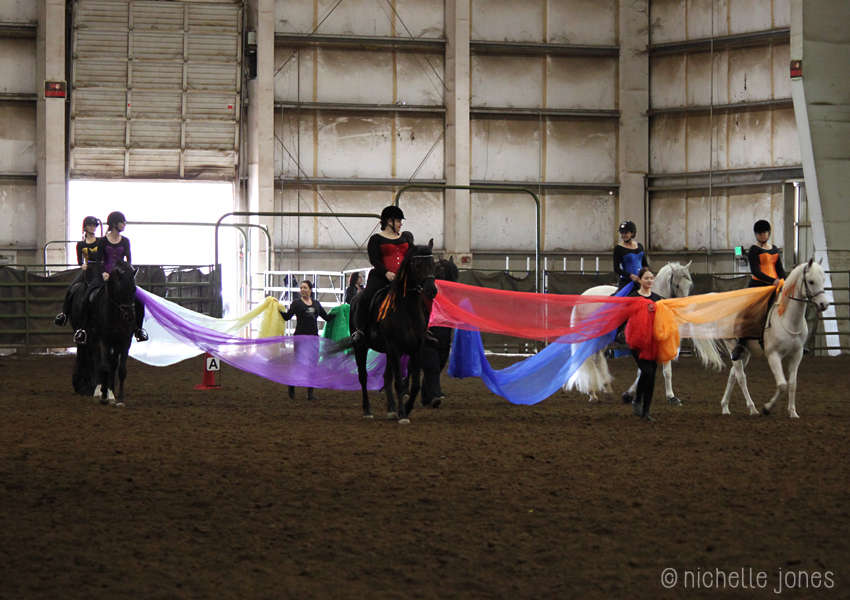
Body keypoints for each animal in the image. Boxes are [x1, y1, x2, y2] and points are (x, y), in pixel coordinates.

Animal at [75, 260, 139, 407]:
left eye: (134, 289)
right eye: (118, 289)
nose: (130, 316)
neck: (116, 313)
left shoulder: (124, 341)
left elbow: (121, 370)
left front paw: (119, 399)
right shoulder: (102, 340)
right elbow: (104, 367)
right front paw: (103, 395)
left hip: (114, 343)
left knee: (113, 364)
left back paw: (111, 394)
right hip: (93, 340)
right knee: (97, 362)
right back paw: (98, 392)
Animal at [349, 240, 438, 423]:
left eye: (433, 264)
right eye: (417, 265)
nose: (431, 291)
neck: (407, 309)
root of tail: (355, 299)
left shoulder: (415, 349)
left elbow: (414, 385)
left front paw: (406, 409)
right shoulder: (396, 348)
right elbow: (399, 383)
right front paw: (403, 414)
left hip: (388, 351)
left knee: (386, 376)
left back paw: (391, 409)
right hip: (361, 347)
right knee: (363, 376)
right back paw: (368, 410)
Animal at [565, 261, 723, 403]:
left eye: (690, 285)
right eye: (677, 285)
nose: (683, 308)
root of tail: (583, 295)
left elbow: (665, 371)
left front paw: (671, 397)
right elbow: (645, 370)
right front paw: (630, 394)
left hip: (603, 339)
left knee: (596, 359)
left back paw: (606, 390)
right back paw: (592, 394)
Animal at [707, 258, 829, 418]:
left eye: (823, 280)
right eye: (811, 281)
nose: (824, 304)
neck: (787, 319)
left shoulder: (796, 355)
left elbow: (792, 383)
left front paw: (793, 412)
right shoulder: (773, 355)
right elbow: (782, 384)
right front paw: (767, 408)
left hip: (745, 353)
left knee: (733, 375)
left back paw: (725, 408)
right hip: (732, 345)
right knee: (741, 377)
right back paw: (752, 409)